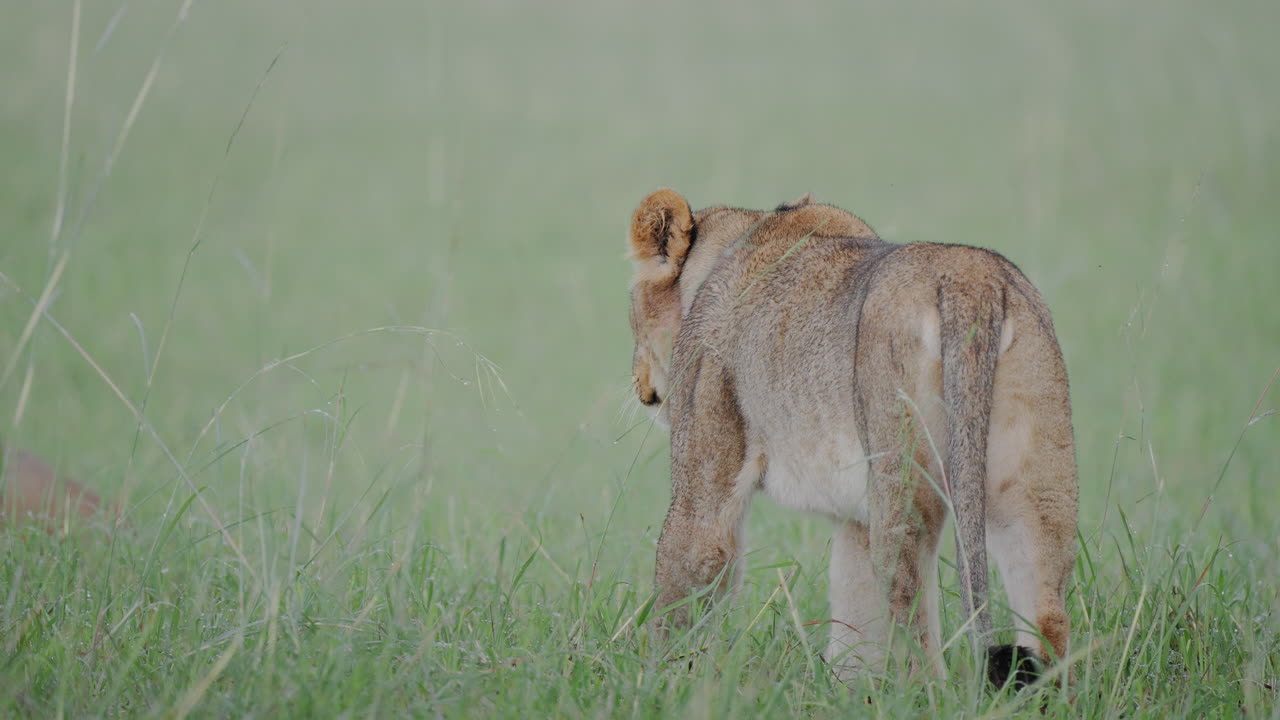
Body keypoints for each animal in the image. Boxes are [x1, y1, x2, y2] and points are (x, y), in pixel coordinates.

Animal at [625, 189, 1078, 689]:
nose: (638, 383)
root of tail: (971, 279)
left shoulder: (705, 477)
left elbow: (687, 573)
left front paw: (658, 681)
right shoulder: (856, 520)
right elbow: (854, 618)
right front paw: (846, 689)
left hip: (901, 474)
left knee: (915, 627)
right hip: (1039, 483)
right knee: (1049, 613)